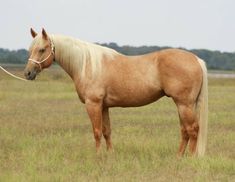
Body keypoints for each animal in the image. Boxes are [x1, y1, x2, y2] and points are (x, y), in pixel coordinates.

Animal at [23, 28, 207, 156]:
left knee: (192, 129)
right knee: (185, 131)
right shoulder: (104, 106)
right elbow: (107, 131)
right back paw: (178, 156)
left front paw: (97, 156)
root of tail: (196, 60)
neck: (87, 64)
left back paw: (190, 158)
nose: (28, 73)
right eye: (30, 50)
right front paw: (110, 154)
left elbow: (97, 131)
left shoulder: (93, 104)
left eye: (42, 49)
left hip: (184, 104)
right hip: (183, 105)